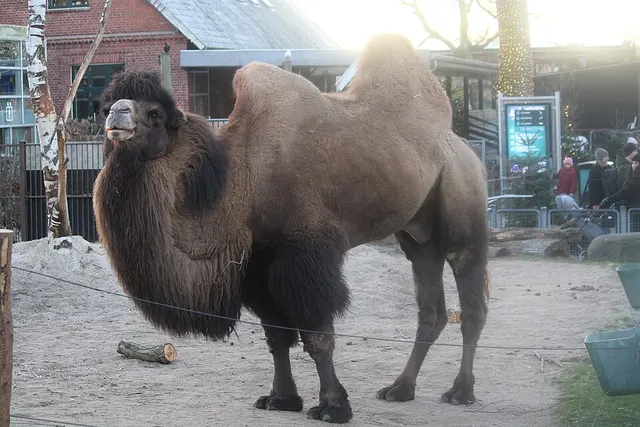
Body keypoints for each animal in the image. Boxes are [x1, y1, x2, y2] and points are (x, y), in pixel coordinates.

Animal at [93, 33, 489, 424]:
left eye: (155, 114)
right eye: (105, 104)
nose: (117, 114)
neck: (243, 176)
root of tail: (460, 143)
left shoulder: (306, 248)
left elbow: (317, 335)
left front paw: (333, 406)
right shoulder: (259, 258)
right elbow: (276, 336)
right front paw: (281, 398)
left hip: (462, 201)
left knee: (469, 294)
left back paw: (461, 391)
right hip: (416, 235)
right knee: (431, 307)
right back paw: (400, 389)